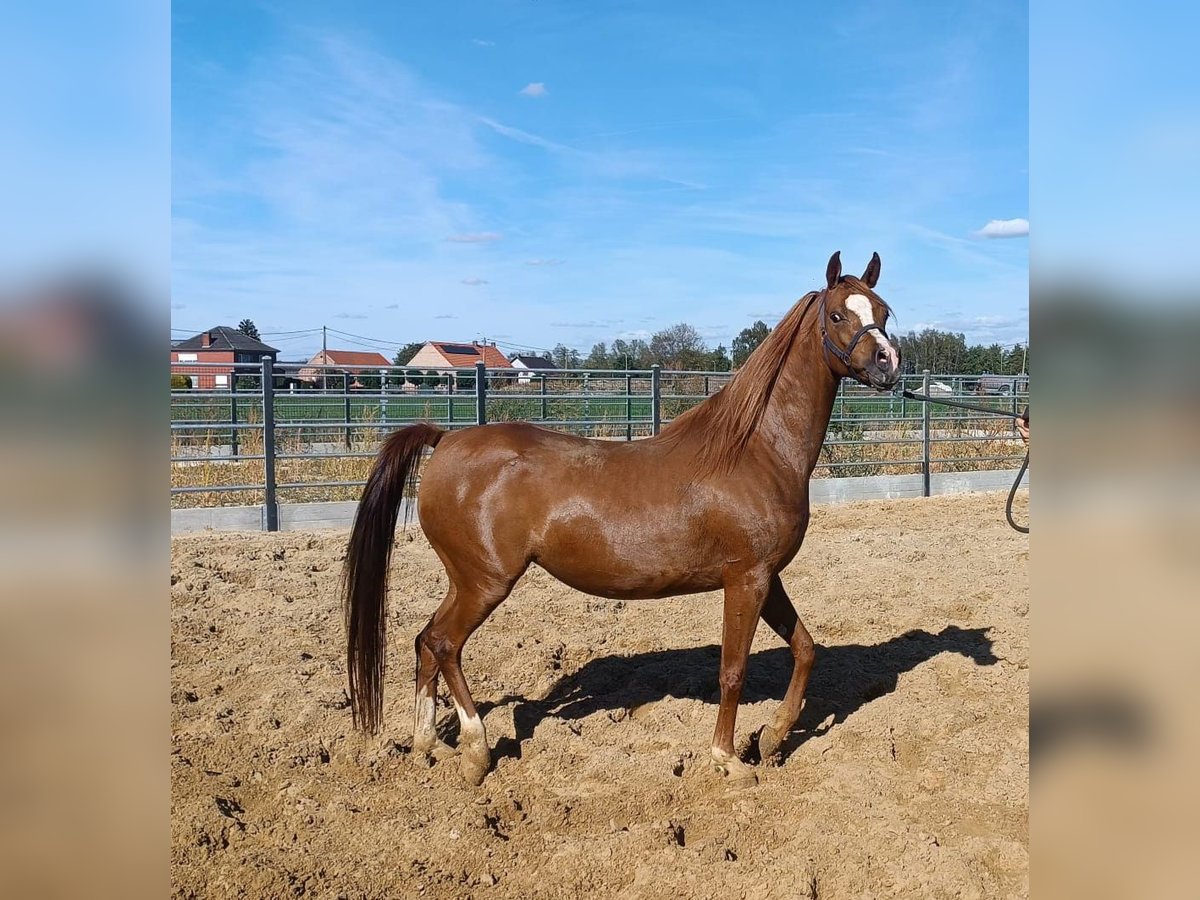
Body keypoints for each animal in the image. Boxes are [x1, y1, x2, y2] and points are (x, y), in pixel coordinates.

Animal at [344, 251, 901, 787]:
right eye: (837, 314)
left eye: (882, 313)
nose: (888, 362)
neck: (755, 449)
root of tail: (445, 440)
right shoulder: (747, 579)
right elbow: (733, 670)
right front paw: (727, 760)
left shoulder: (768, 576)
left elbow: (806, 649)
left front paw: (772, 736)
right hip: (484, 582)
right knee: (444, 644)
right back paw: (476, 752)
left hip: (465, 581)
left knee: (425, 642)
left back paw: (429, 746)